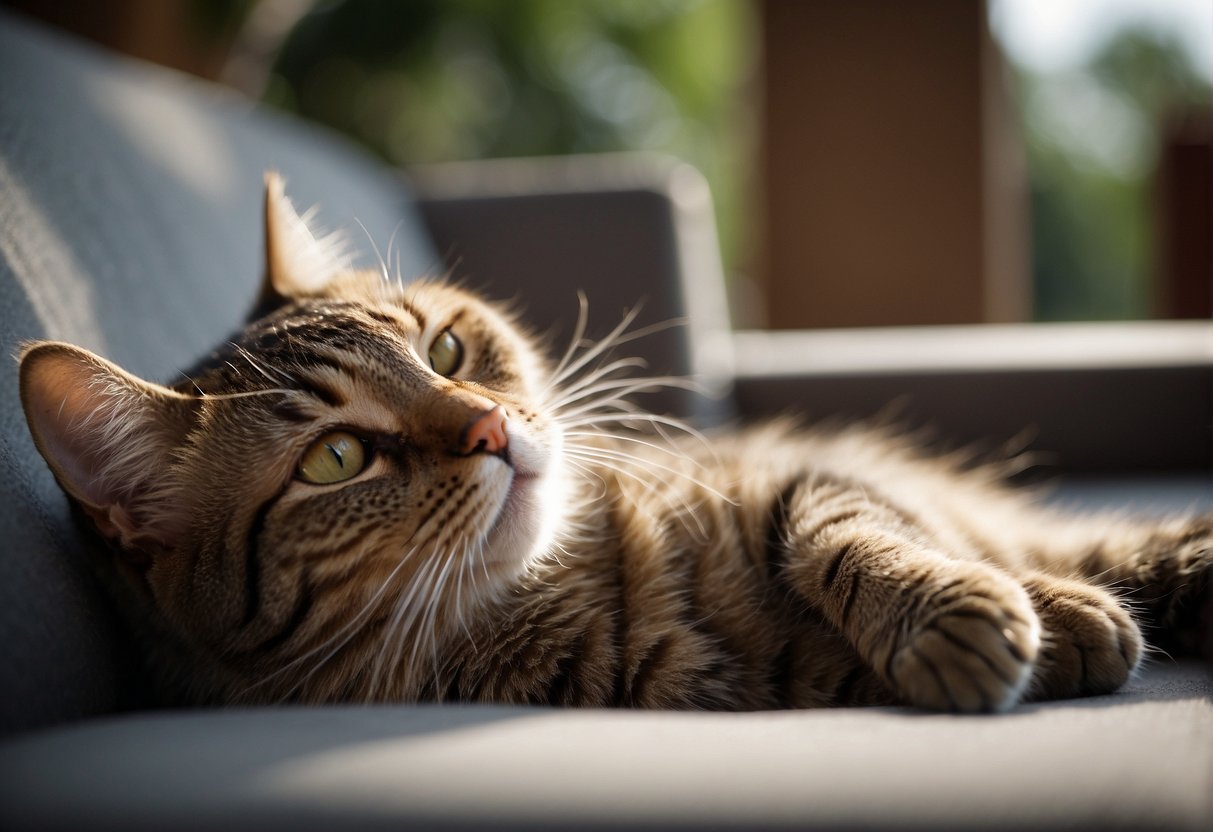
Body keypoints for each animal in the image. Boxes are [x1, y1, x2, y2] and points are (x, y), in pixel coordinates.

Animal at [18, 172, 1213, 713]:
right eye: (336, 461)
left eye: (445, 348)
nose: (493, 426)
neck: (579, 578)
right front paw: (1005, 624)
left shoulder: (799, 478)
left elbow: (844, 530)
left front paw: (994, 603)